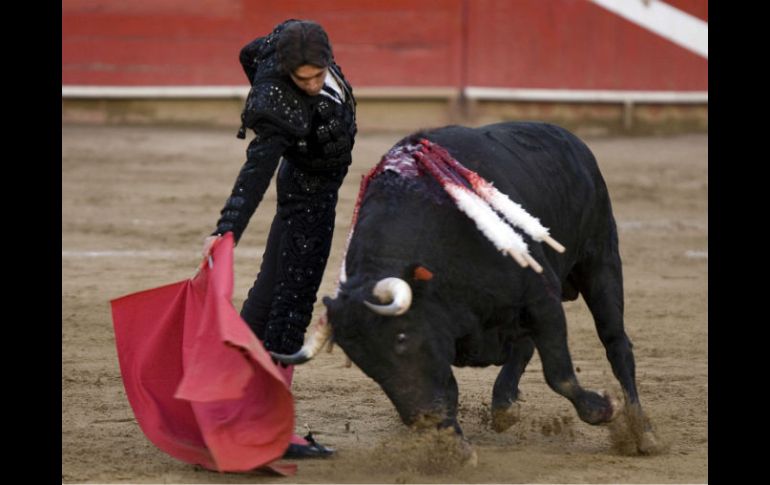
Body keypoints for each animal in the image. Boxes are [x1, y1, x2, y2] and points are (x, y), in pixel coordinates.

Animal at [276, 121, 656, 454]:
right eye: (363, 361)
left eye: (401, 338)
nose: (421, 419)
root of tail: (571, 140)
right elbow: (449, 388)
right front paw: (453, 445)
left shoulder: (541, 295)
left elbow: (558, 373)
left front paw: (603, 409)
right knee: (524, 347)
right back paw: (503, 407)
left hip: (601, 261)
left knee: (616, 342)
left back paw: (642, 431)